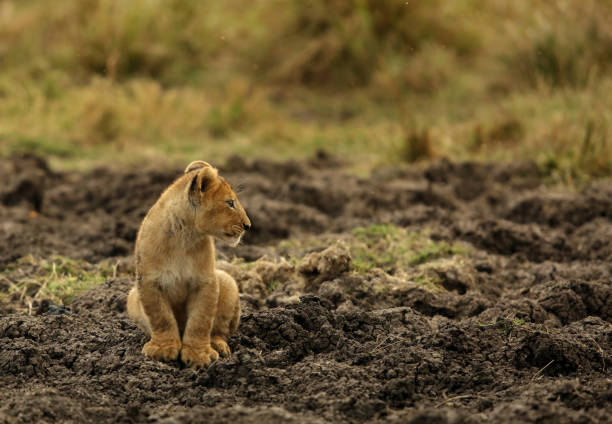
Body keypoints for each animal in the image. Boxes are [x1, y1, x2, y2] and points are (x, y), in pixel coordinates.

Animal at [126, 161, 251, 366]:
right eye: (230, 203)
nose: (248, 226)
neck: (184, 236)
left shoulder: (205, 281)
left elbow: (200, 320)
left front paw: (198, 355)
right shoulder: (149, 281)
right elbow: (161, 318)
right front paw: (163, 349)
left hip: (227, 281)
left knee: (219, 331)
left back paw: (218, 346)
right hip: (132, 296)